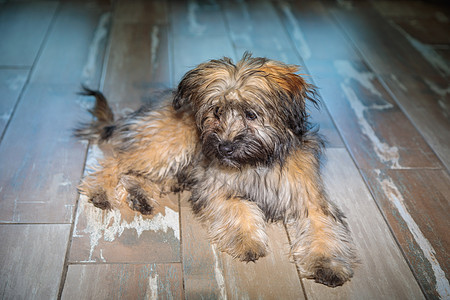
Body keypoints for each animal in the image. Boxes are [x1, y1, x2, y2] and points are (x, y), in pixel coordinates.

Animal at [75, 52, 356, 288]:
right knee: (118, 161)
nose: (225, 147)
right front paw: (247, 241)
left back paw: (140, 194)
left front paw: (327, 264)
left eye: (251, 114)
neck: (256, 161)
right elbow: (240, 206)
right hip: (170, 145)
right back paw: (100, 190)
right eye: (217, 111)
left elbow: (324, 228)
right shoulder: (215, 187)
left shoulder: (308, 197)